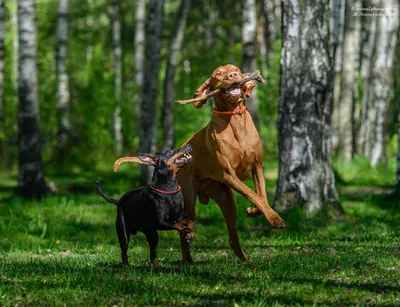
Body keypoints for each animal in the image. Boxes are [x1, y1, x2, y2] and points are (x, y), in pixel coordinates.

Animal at [177, 63, 286, 264]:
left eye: (235, 69)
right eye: (218, 74)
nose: (233, 75)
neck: (235, 118)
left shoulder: (257, 166)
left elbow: (262, 197)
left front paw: (255, 212)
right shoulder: (230, 175)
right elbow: (256, 195)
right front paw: (275, 219)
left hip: (226, 200)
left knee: (232, 236)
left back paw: (245, 260)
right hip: (189, 199)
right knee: (185, 228)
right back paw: (188, 260)